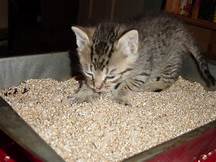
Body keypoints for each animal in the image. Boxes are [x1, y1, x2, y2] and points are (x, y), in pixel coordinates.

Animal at [70, 13, 214, 105]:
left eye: (111, 76)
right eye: (89, 73)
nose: (98, 88)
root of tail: (182, 29)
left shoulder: (143, 70)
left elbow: (128, 84)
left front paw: (120, 96)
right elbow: (86, 83)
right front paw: (82, 93)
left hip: (171, 59)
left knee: (171, 78)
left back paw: (152, 85)